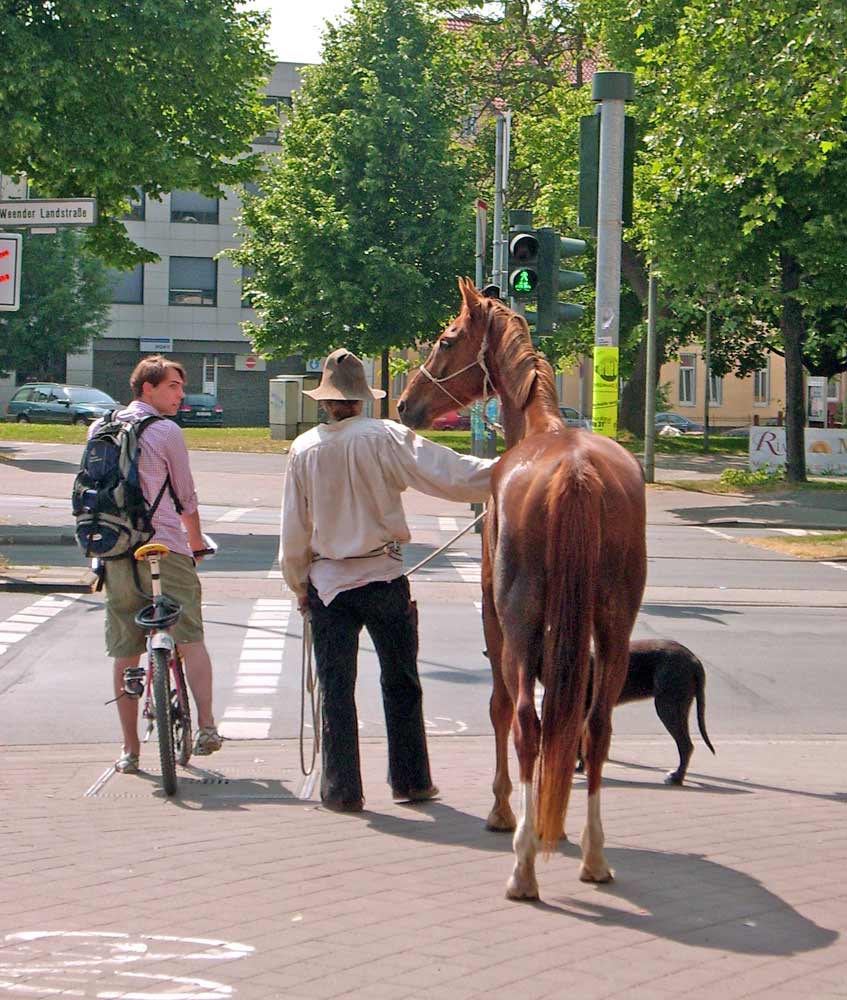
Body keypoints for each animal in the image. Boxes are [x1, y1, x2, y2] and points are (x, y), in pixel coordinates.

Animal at [400, 280, 644, 900]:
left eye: (446, 339)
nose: (404, 404)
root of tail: (576, 471)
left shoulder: (494, 614)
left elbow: (498, 707)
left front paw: (504, 809)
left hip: (520, 619)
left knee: (526, 726)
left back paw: (524, 864)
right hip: (614, 626)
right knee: (597, 727)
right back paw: (595, 855)